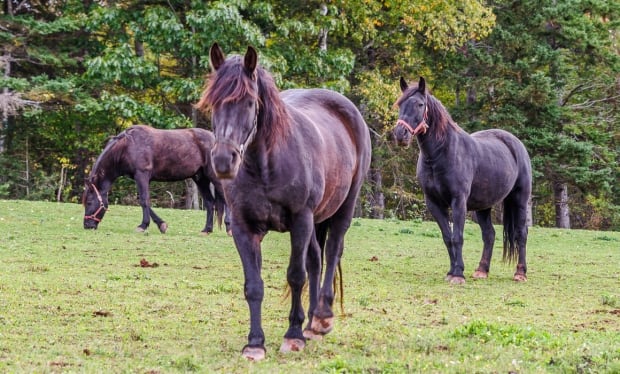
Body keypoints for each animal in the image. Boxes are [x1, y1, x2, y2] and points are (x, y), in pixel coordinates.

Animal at [81, 127, 229, 235]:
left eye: (89, 202)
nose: (87, 225)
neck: (127, 146)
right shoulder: (141, 178)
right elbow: (146, 201)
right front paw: (161, 225)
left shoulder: (142, 176)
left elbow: (143, 200)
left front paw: (142, 226)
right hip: (200, 179)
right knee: (210, 203)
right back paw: (207, 230)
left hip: (214, 177)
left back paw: (229, 229)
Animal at [196, 43, 370, 360]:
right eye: (213, 103)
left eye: (249, 103)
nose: (224, 161)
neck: (264, 165)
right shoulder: (244, 227)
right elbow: (254, 285)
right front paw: (255, 343)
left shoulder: (300, 221)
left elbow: (296, 276)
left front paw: (293, 336)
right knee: (316, 259)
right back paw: (311, 323)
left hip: (342, 210)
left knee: (331, 252)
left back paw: (322, 317)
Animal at [394, 77, 532, 284]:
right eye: (400, 104)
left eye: (420, 104)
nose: (400, 134)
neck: (441, 153)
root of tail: (515, 143)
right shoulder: (433, 203)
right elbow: (447, 237)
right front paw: (452, 271)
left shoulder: (458, 201)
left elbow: (457, 236)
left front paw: (458, 274)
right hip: (483, 206)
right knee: (489, 235)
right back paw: (481, 270)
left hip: (520, 200)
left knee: (521, 234)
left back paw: (520, 273)